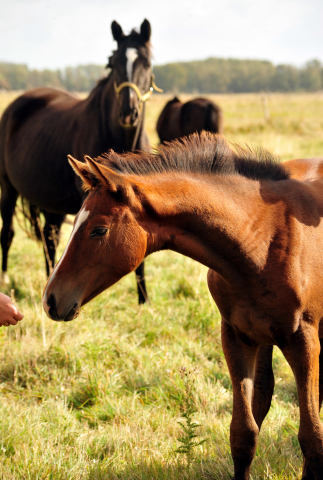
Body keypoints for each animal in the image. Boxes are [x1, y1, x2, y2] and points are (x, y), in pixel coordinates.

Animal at [0, 19, 159, 304]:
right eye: (113, 62)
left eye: (146, 63)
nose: (128, 112)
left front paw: (144, 301)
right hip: (7, 188)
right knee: (7, 234)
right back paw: (6, 280)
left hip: (51, 201)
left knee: (50, 238)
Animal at [42, 132, 323, 480]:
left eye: (99, 230)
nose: (51, 299)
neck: (262, 241)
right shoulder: (237, 337)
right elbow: (244, 433)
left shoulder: (304, 341)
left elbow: (311, 436)